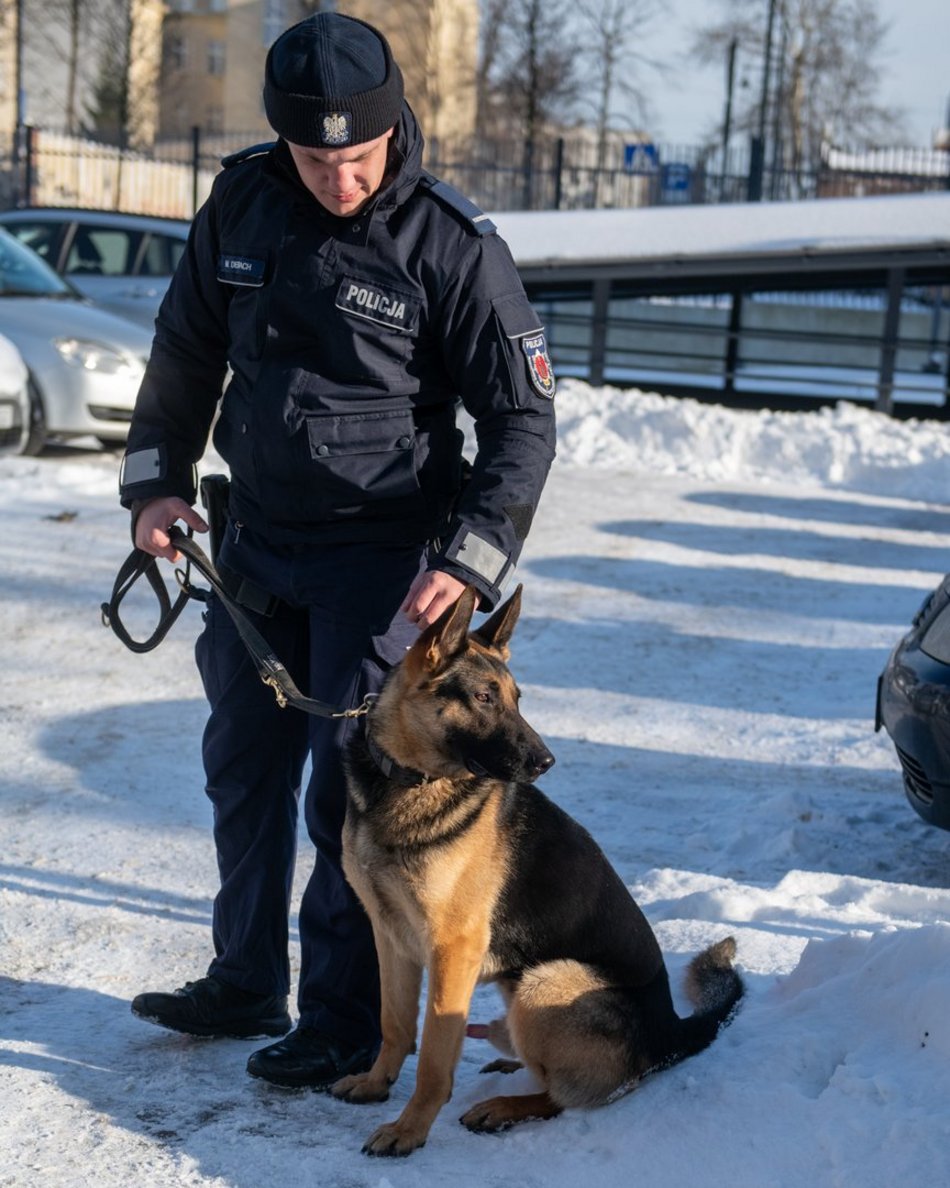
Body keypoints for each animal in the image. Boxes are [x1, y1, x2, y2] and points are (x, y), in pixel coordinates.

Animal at [332, 589, 741, 1154]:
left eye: (517, 699)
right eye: (484, 697)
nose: (547, 761)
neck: (409, 781)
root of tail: (670, 1033)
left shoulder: (453, 949)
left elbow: (435, 1056)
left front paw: (409, 1130)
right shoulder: (390, 934)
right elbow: (395, 1024)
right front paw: (377, 1084)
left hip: (542, 982)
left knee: (566, 1098)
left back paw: (505, 1105)